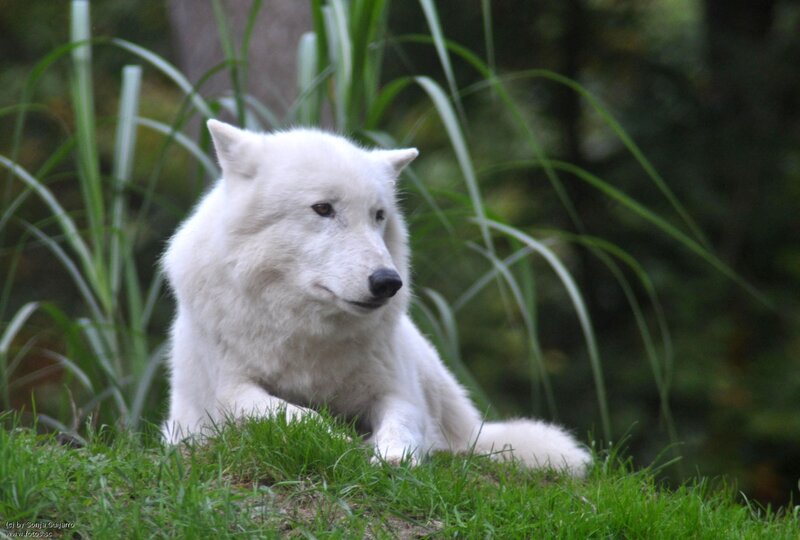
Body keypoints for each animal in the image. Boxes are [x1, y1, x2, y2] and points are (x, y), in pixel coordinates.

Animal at [162, 119, 591, 476]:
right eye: (323, 208)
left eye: (379, 215)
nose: (388, 282)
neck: (307, 337)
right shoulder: (229, 392)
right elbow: (291, 413)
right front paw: (340, 441)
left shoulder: (398, 393)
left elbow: (402, 424)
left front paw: (394, 456)